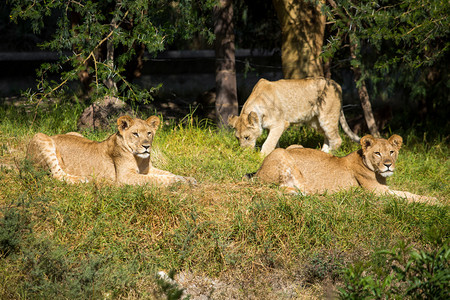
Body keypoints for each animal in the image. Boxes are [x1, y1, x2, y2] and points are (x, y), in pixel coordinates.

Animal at [26, 115, 195, 185]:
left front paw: (188, 179)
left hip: (74, 132)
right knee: (57, 174)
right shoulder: (125, 177)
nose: (147, 146)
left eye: (149, 133)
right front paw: (179, 181)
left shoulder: (147, 169)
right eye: (135, 134)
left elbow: (168, 173)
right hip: (41, 136)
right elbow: (159, 179)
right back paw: (85, 179)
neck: (139, 159)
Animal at [229, 77, 358, 156]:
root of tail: (337, 85)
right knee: (328, 136)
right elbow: (274, 142)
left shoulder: (280, 124)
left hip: (327, 116)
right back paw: (322, 152)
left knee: (337, 139)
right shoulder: (274, 128)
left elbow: (268, 143)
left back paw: (327, 154)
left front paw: (261, 157)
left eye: (247, 137)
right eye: (237, 138)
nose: (244, 153)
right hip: (315, 122)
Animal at [248, 134, 438, 203]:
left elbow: (407, 193)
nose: (388, 164)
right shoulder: (377, 192)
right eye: (377, 153)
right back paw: (304, 192)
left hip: (295, 145)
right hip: (281, 153)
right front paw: (434, 201)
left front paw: (432, 198)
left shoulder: (385, 188)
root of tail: (258, 170)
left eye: (391, 152)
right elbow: (405, 197)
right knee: (277, 187)